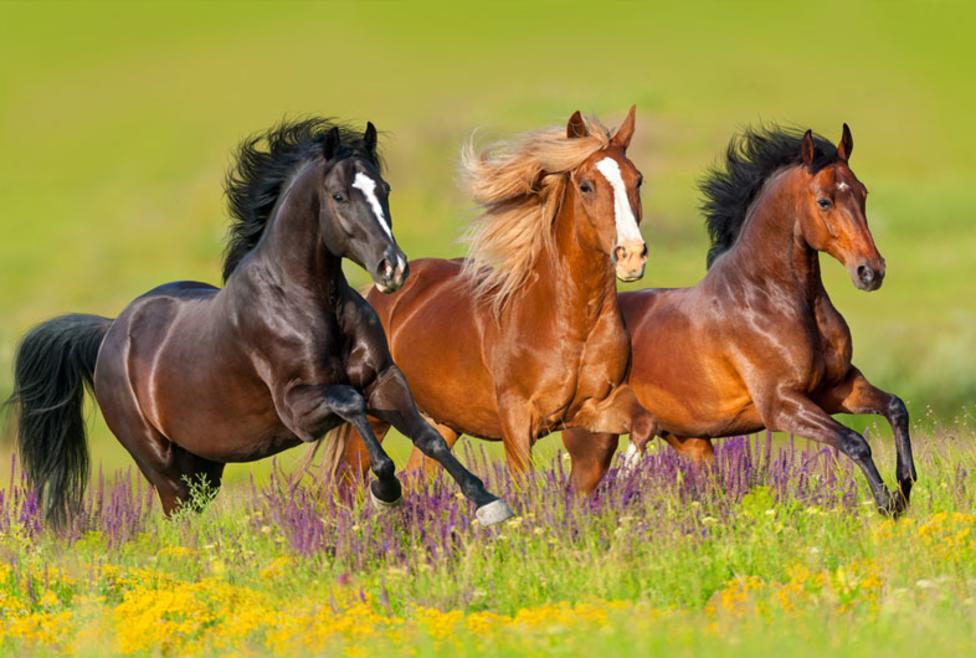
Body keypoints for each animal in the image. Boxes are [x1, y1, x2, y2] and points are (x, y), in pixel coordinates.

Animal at [8, 117, 513, 527]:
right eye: (339, 196)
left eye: (384, 189)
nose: (393, 269)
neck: (308, 304)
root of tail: (110, 332)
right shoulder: (299, 409)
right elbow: (352, 404)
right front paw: (386, 492)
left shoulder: (385, 380)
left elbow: (429, 438)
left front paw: (489, 503)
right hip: (162, 466)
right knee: (178, 519)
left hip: (204, 466)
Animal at [323, 108, 648, 480]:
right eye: (586, 186)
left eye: (637, 180)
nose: (632, 255)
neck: (571, 324)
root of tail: (376, 295)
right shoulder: (517, 420)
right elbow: (524, 482)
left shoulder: (594, 408)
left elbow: (642, 423)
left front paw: (627, 472)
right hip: (376, 416)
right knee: (347, 481)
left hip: (443, 421)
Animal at [561, 125, 917, 516]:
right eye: (825, 201)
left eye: (862, 192)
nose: (871, 271)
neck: (770, 299)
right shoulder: (782, 405)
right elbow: (855, 441)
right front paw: (887, 503)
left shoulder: (837, 387)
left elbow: (896, 407)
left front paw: (905, 484)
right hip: (594, 442)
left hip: (690, 441)